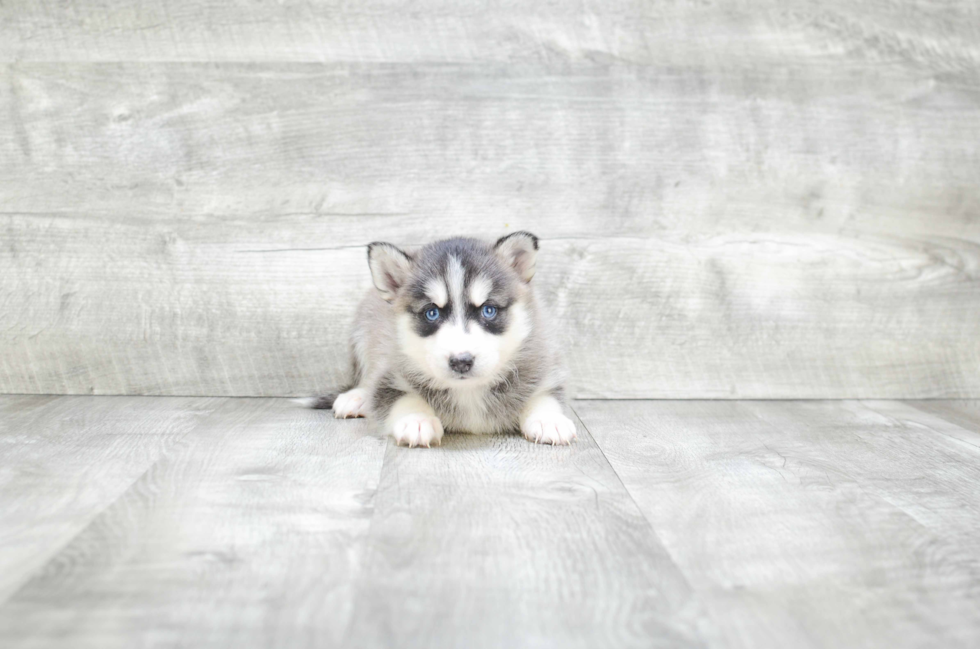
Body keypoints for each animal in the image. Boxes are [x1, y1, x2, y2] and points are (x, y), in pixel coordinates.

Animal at [300, 230, 576, 448]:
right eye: (431, 313)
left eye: (488, 310)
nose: (461, 362)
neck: (468, 391)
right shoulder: (388, 376)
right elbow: (401, 397)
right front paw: (417, 420)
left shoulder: (543, 367)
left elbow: (544, 397)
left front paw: (549, 420)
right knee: (363, 379)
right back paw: (355, 399)